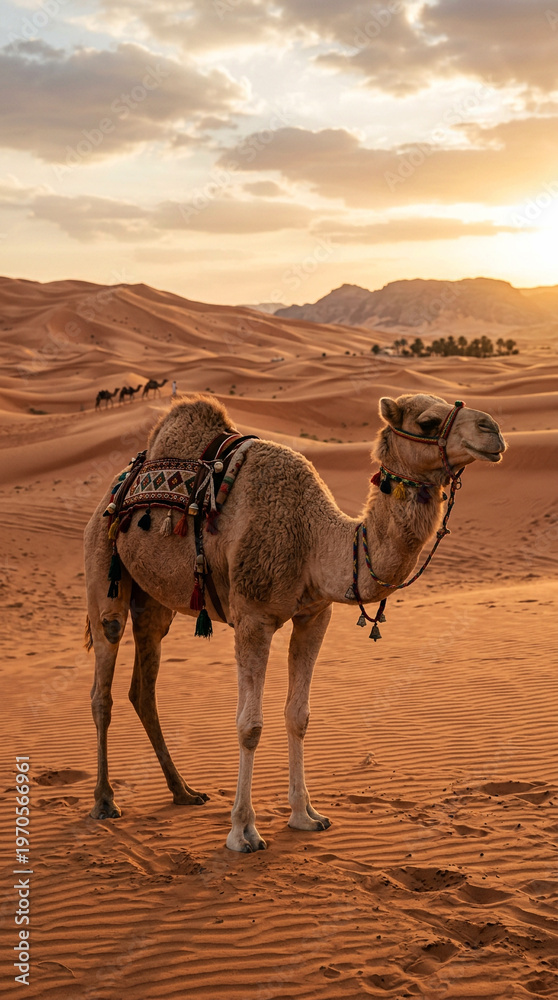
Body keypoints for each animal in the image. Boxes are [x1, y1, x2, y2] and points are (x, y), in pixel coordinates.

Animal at [84, 392, 505, 852]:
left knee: (143, 686)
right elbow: (249, 725)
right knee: (103, 681)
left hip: (154, 600)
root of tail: (113, 490)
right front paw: (243, 832)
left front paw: (306, 815)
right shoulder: (252, 617)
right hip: (102, 564)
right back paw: (105, 801)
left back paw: (184, 791)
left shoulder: (314, 616)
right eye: (427, 421)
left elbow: (298, 716)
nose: (493, 430)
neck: (313, 537)